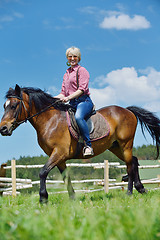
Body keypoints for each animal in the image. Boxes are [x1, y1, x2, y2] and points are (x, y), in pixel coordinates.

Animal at [0, 84, 160, 202]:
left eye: (14, 106)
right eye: (4, 106)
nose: (3, 128)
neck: (50, 121)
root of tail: (127, 111)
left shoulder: (59, 153)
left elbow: (43, 172)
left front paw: (43, 198)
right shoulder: (59, 158)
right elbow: (66, 177)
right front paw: (72, 198)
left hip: (125, 144)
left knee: (130, 165)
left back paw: (130, 192)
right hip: (115, 147)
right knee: (134, 161)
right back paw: (140, 189)